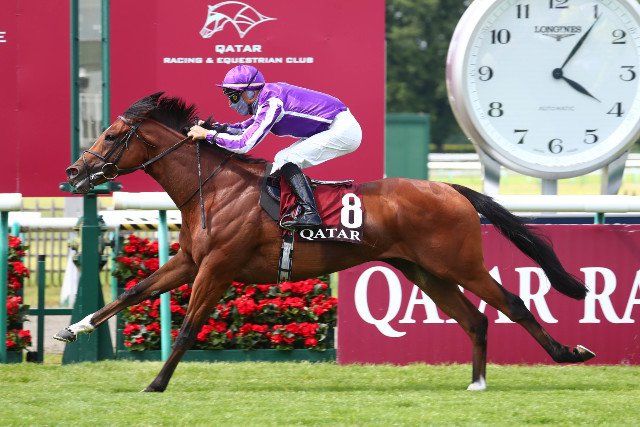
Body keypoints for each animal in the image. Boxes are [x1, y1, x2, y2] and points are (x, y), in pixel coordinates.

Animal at [57, 92, 595, 392]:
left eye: (111, 136)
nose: (76, 172)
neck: (214, 187)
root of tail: (451, 188)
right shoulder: (190, 260)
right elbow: (133, 292)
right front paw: (73, 329)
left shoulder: (217, 268)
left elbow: (189, 329)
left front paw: (155, 383)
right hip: (425, 271)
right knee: (476, 319)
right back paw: (478, 382)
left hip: (460, 265)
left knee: (513, 303)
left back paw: (569, 353)